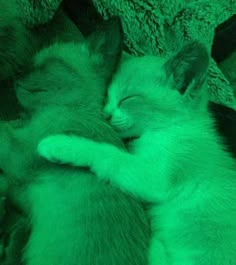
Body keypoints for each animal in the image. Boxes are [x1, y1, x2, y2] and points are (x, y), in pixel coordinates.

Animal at [37, 41, 236, 264]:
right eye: (107, 97)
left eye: (128, 98)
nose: (106, 114)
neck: (172, 128)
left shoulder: (157, 177)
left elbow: (109, 154)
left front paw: (60, 144)